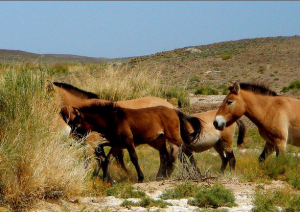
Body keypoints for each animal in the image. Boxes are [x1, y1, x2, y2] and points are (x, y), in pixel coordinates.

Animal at [65, 102, 202, 183]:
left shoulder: (128, 141)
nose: (72, 137)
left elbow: (134, 158)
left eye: (76, 124)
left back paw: (194, 173)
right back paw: (160, 177)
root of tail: (175, 111)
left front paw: (140, 177)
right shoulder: (117, 144)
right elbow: (107, 159)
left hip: (174, 137)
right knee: (165, 156)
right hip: (159, 140)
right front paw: (106, 179)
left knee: (187, 151)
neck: (113, 119)